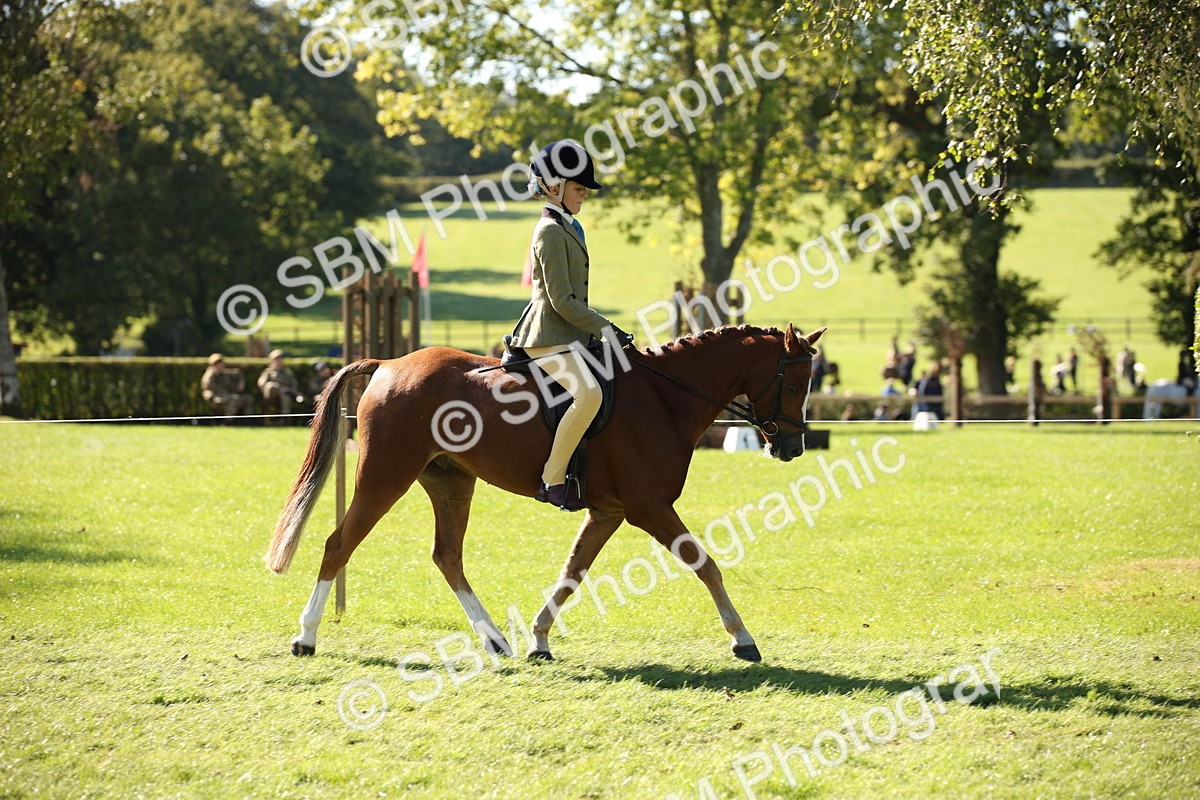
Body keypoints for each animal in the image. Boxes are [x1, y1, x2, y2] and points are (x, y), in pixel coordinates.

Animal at [265, 323, 826, 662]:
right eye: (794, 384)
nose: (793, 446)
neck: (665, 398)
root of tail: (387, 364)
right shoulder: (648, 507)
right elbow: (705, 564)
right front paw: (743, 640)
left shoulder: (608, 512)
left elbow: (571, 574)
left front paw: (538, 638)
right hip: (387, 474)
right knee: (340, 544)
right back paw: (306, 636)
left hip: (450, 481)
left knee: (448, 556)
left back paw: (495, 640)